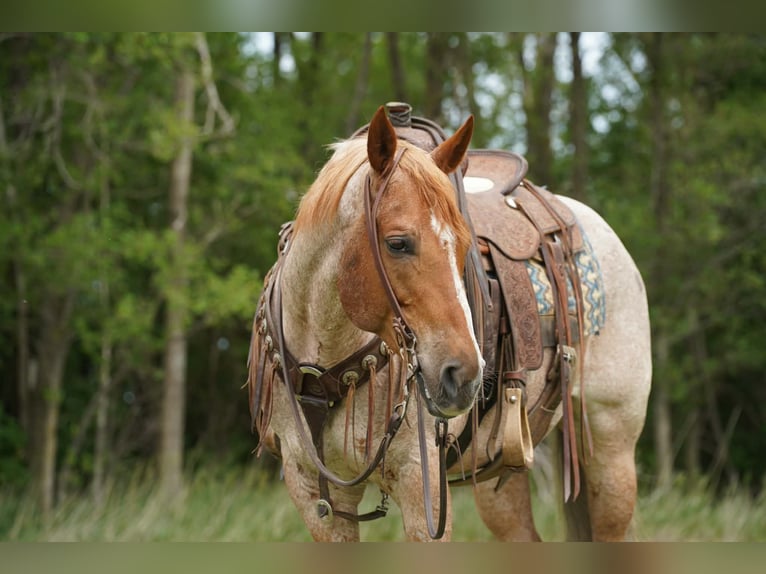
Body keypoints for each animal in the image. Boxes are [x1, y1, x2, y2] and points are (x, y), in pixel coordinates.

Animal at [247, 104, 652, 541]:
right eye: (397, 243)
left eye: (463, 244)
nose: (464, 376)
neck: (323, 364)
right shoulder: (313, 493)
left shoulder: (420, 483)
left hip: (611, 445)